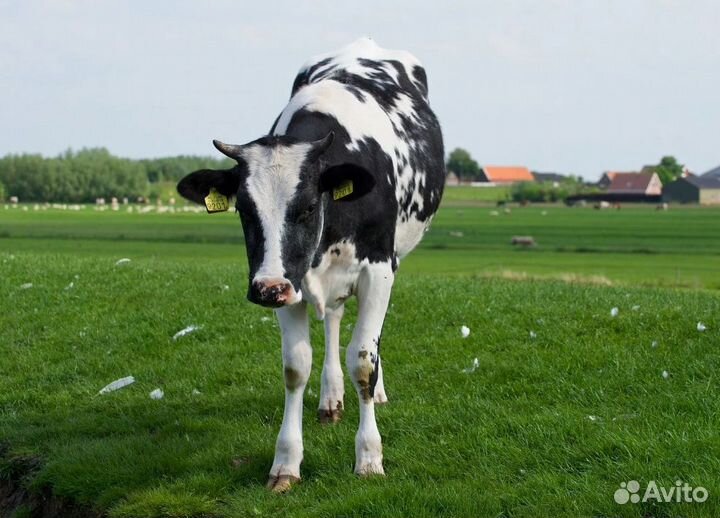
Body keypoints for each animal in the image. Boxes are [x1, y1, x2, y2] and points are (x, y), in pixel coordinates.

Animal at [177, 38, 445, 492]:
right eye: (244, 210)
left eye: (306, 207)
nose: (267, 289)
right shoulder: (292, 281)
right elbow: (295, 367)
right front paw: (285, 463)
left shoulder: (378, 269)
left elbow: (364, 361)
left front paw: (369, 457)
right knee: (334, 320)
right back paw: (330, 398)